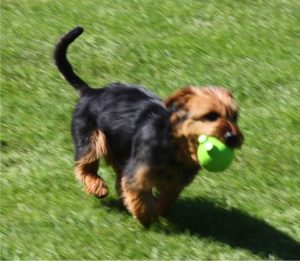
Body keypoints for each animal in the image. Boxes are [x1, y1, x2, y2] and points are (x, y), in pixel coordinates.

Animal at [54, 26, 244, 225]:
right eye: (211, 116)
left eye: (234, 117)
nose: (233, 137)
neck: (174, 142)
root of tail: (91, 92)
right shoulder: (138, 174)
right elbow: (140, 197)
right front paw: (145, 216)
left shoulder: (174, 182)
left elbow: (166, 199)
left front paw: (158, 211)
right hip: (89, 139)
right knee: (84, 166)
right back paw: (97, 186)